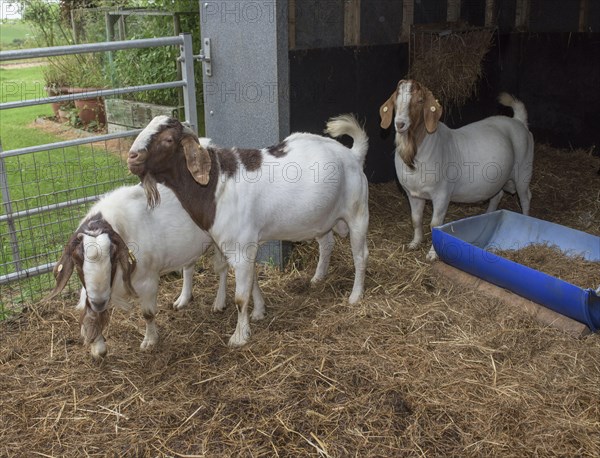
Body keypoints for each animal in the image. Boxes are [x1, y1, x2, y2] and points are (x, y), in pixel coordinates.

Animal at [45, 184, 233, 360]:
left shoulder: (148, 281)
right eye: (77, 260)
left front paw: (150, 341)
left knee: (222, 268)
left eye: (113, 255)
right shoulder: (91, 290)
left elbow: (148, 314)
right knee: (189, 266)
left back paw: (219, 303)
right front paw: (98, 348)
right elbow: (90, 313)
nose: (100, 302)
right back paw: (183, 299)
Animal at [129, 114, 368, 348]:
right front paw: (259, 312)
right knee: (327, 244)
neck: (215, 186)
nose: (132, 157)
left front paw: (239, 336)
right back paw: (317, 278)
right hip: (324, 219)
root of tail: (352, 155)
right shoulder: (246, 246)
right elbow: (252, 281)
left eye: (168, 139)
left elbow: (241, 297)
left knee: (360, 255)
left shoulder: (241, 248)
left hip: (357, 213)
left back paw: (355, 296)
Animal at [380, 78, 536, 262]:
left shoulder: (442, 194)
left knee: (525, 197)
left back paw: (525, 218)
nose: (400, 124)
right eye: (396, 100)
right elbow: (416, 219)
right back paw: (488, 215)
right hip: (500, 178)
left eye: (420, 100)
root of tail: (519, 121)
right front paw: (414, 243)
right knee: (497, 195)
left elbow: (435, 224)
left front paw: (432, 254)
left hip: (523, 170)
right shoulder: (413, 194)